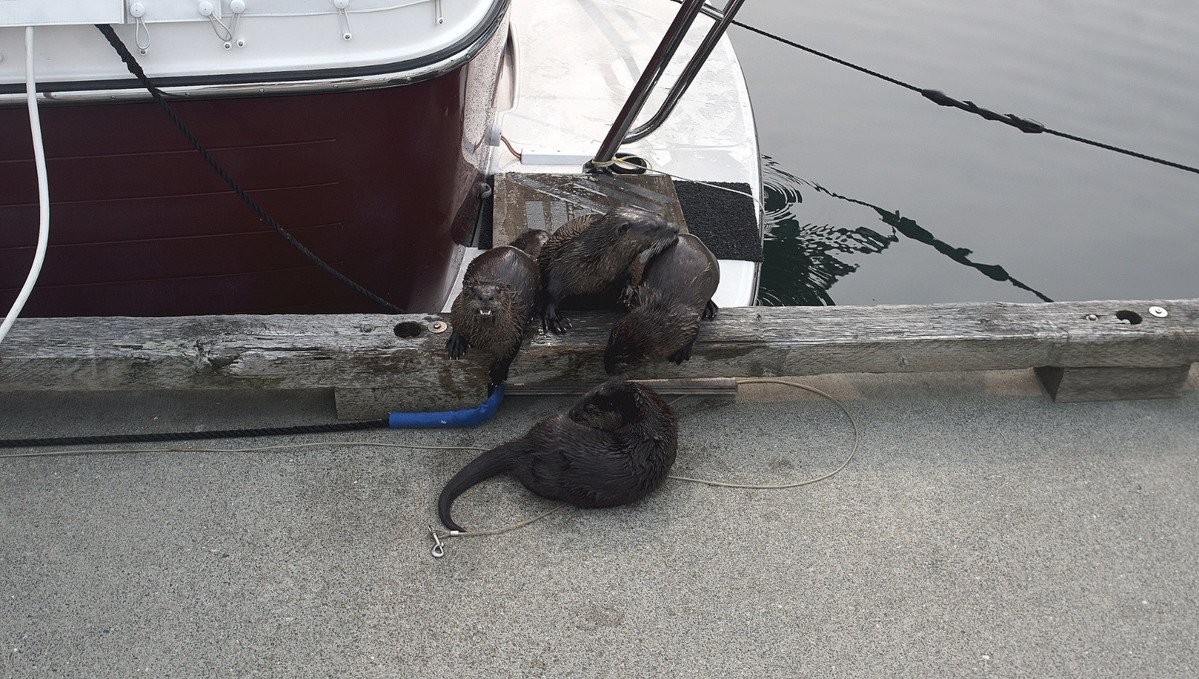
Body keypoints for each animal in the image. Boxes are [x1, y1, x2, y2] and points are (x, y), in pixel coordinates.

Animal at [437, 380, 678, 532]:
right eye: (582, 398)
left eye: (590, 408)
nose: (572, 413)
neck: (650, 423)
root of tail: (530, 445)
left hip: (552, 426)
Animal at [445, 244, 540, 390]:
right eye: (473, 289)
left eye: (498, 290)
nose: (485, 296)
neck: (482, 339)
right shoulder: (457, 310)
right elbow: (456, 323)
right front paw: (457, 342)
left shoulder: (514, 329)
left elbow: (510, 352)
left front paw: (497, 373)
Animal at [537, 207, 679, 334]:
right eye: (654, 228)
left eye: (660, 216)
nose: (676, 228)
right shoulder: (561, 266)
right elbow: (551, 290)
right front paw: (554, 317)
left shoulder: (631, 265)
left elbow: (631, 276)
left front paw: (628, 294)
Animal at [604, 233, 720, 374]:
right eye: (611, 339)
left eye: (623, 361)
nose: (607, 367)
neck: (661, 305)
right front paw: (626, 297)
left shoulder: (689, 320)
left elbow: (694, 332)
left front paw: (682, 352)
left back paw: (710, 308)